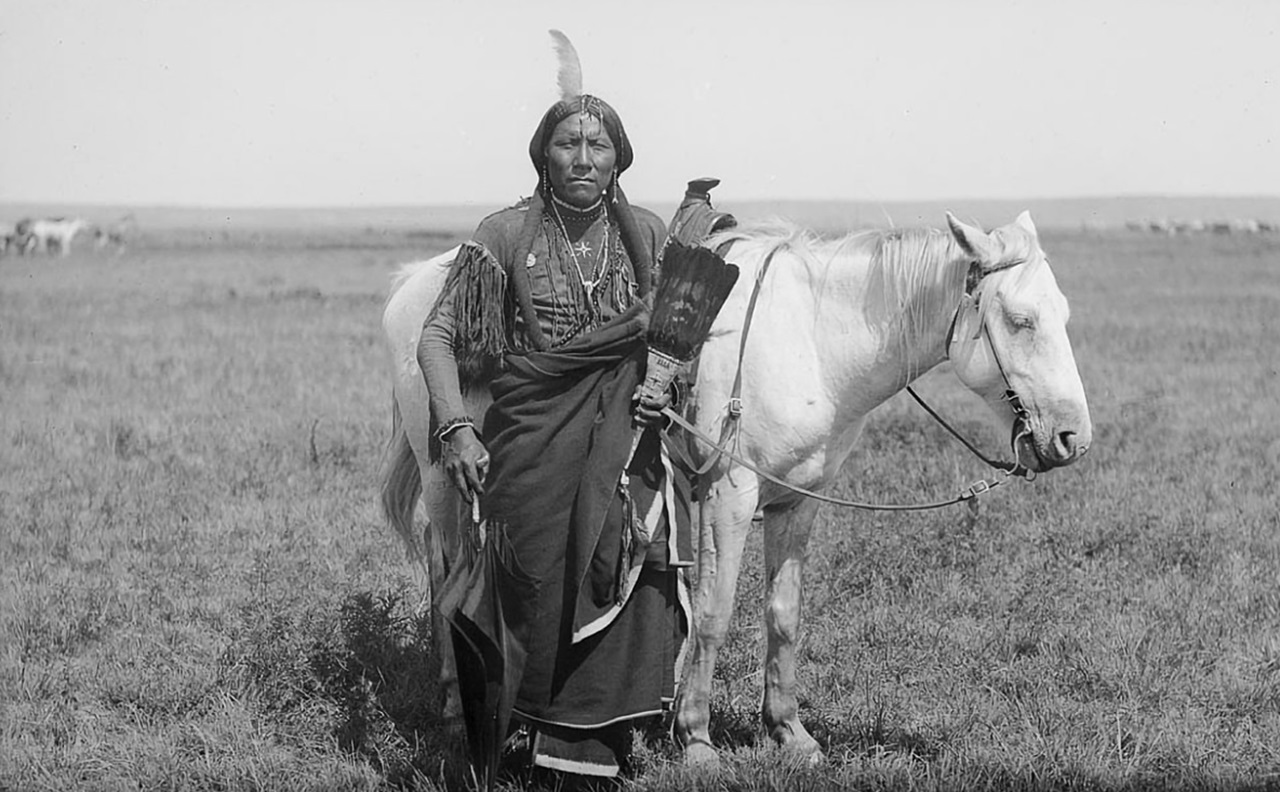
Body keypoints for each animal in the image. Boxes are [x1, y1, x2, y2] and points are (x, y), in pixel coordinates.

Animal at [376, 212, 1090, 767]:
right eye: (1020, 320)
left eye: (1063, 314)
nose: (1072, 438)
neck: (815, 341)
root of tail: (415, 283)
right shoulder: (731, 496)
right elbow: (715, 613)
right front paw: (694, 738)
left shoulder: (798, 501)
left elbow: (783, 614)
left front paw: (789, 732)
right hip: (446, 476)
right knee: (448, 576)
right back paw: (456, 705)